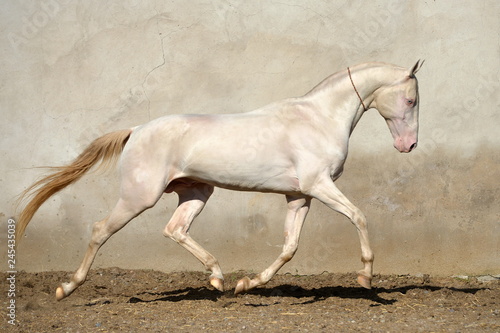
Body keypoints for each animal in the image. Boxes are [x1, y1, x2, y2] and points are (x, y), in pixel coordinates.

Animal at [16, 61, 422, 300]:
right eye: (411, 99)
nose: (409, 145)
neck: (317, 119)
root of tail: (136, 130)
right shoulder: (319, 186)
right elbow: (359, 216)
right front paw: (366, 277)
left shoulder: (299, 196)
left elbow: (289, 247)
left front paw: (249, 283)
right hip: (139, 197)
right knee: (102, 229)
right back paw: (66, 288)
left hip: (197, 192)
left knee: (175, 229)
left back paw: (218, 278)